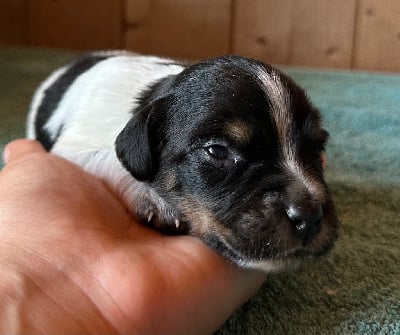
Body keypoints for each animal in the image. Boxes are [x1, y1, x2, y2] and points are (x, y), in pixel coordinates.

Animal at [25, 52, 338, 272]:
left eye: (317, 149)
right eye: (217, 152)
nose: (309, 217)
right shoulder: (71, 148)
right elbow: (108, 158)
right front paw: (150, 197)